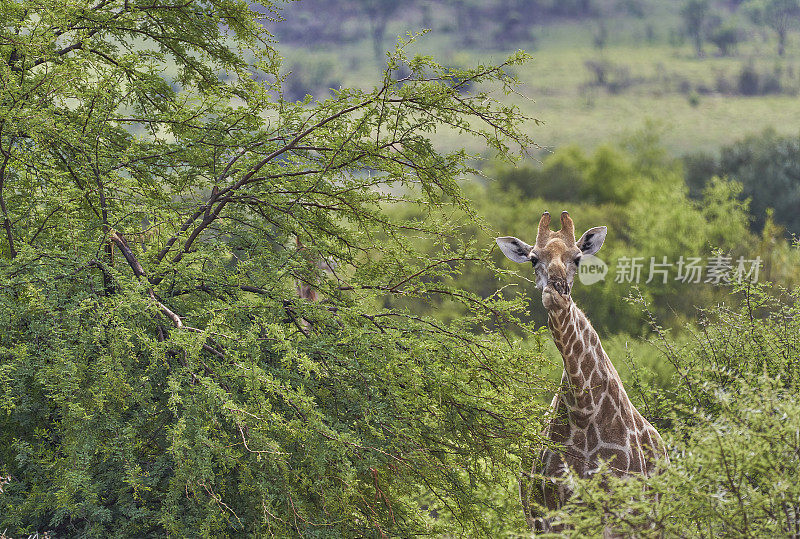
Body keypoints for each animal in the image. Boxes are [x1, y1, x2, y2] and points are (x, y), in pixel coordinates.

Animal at [496, 210, 664, 532]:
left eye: (577, 258)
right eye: (533, 259)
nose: (557, 291)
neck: (584, 410)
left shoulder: (619, 513)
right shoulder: (552, 515)